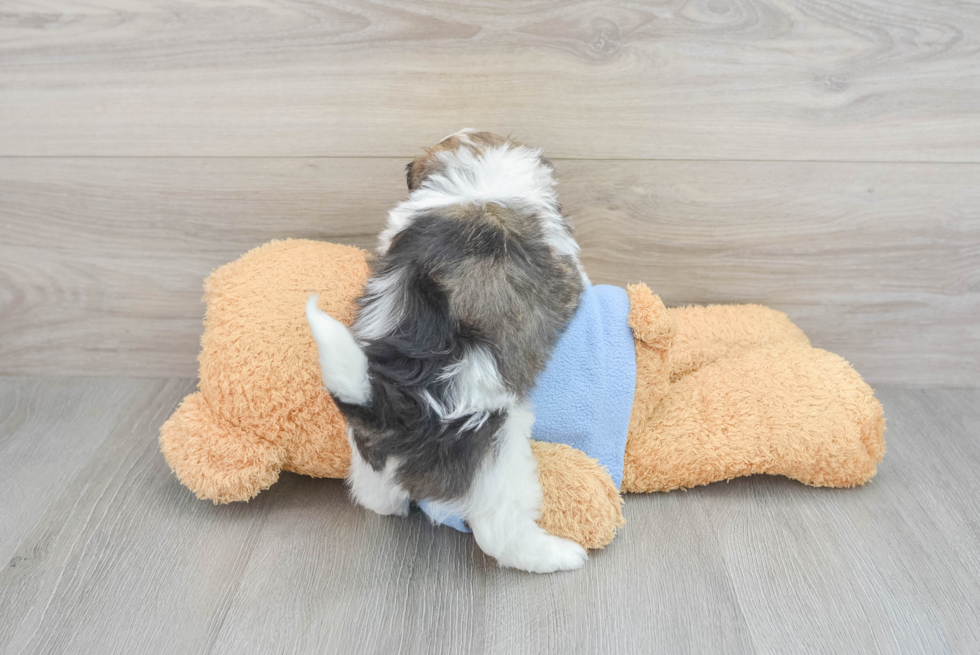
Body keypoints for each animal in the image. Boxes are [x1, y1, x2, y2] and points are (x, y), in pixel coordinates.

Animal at [306, 131, 584, 572]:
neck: (477, 183)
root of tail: (389, 410)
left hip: (370, 453)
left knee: (375, 495)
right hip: (499, 451)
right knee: (499, 531)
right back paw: (557, 555)